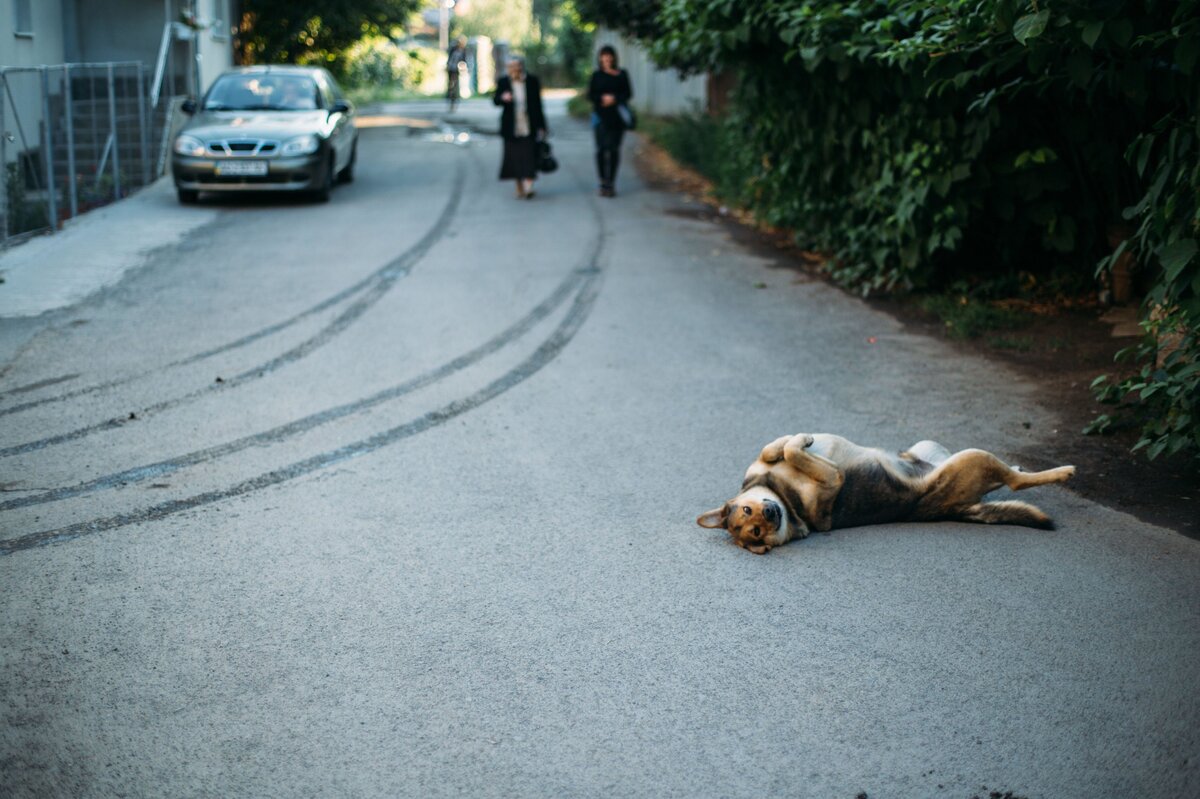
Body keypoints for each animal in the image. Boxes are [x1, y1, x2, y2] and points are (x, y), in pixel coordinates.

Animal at [696, 429, 1080, 554]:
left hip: (930, 448)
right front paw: (798, 443)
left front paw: (794, 440)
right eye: (755, 534)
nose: (771, 515)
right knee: (1014, 482)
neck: (787, 499)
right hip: (972, 459)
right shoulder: (833, 477)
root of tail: (950, 509)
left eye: (748, 513)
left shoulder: (760, 468)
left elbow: (776, 449)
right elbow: (792, 451)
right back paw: (1059, 472)